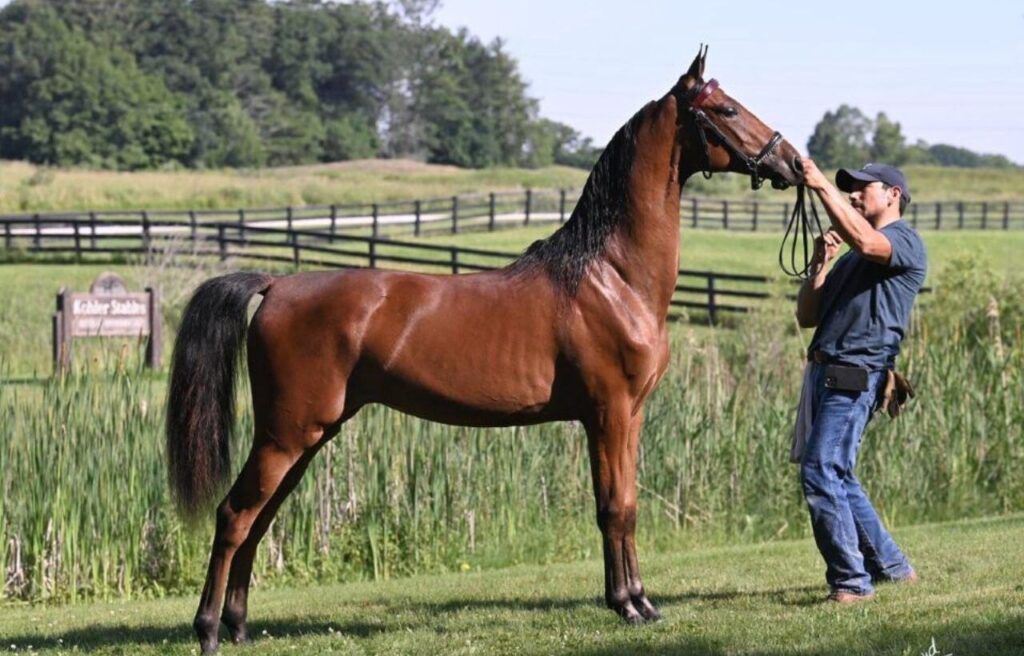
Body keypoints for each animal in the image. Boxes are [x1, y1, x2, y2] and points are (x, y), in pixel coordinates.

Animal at [166, 46, 804, 653]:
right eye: (726, 110)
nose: (793, 162)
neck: (611, 275)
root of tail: (277, 284)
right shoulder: (609, 413)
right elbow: (613, 508)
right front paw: (626, 605)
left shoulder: (631, 415)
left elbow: (628, 504)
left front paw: (642, 601)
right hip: (287, 434)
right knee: (235, 516)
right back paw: (208, 631)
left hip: (305, 436)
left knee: (259, 520)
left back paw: (239, 626)